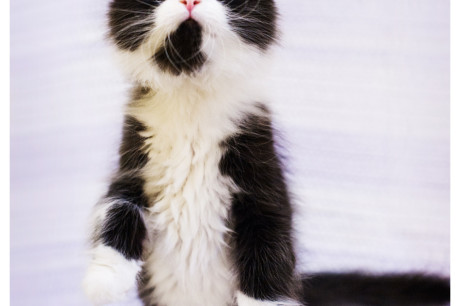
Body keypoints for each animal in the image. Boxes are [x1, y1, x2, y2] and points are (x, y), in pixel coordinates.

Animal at [82, 0, 302, 306]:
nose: (189, 1)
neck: (190, 97)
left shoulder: (265, 185)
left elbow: (269, 250)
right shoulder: (132, 164)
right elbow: (118, 206)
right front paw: (105, 277)